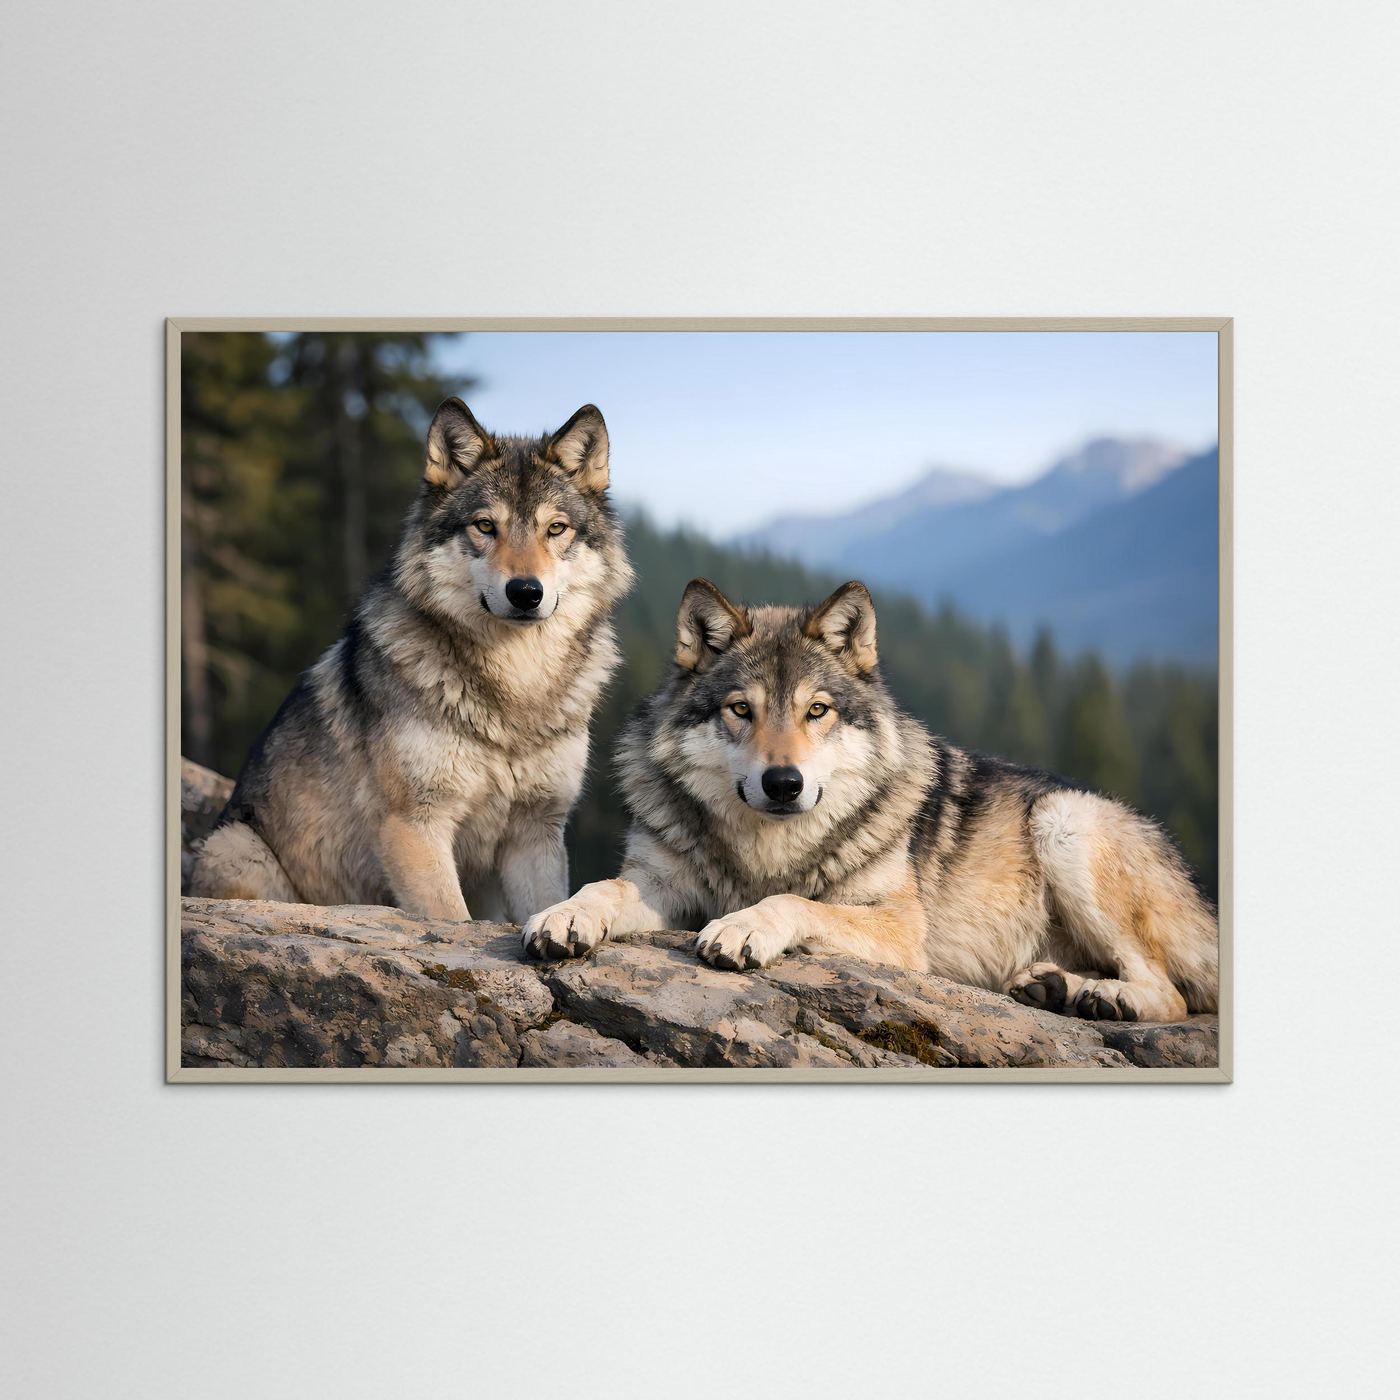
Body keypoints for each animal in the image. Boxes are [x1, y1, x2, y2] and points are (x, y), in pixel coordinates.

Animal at [191, 399, 633, 923]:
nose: (526, 592)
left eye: (556, 529)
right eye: (486, 526)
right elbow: (450, 916)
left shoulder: (536, 833)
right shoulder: (415, 824)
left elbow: (542, 907)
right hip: (234, 847)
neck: (516, 685)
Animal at [522, 578, 1218, 1022]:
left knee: (1175, 993)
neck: (764, 850)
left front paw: (745, 926)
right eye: (741, 710)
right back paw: (1053, 988)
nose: (784, 783)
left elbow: (794, 901)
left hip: (1064, 821)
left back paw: (1104, 999)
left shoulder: (901, 931)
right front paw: (563, 915)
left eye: (817, 711)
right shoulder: (663, 887)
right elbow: (603, 887)